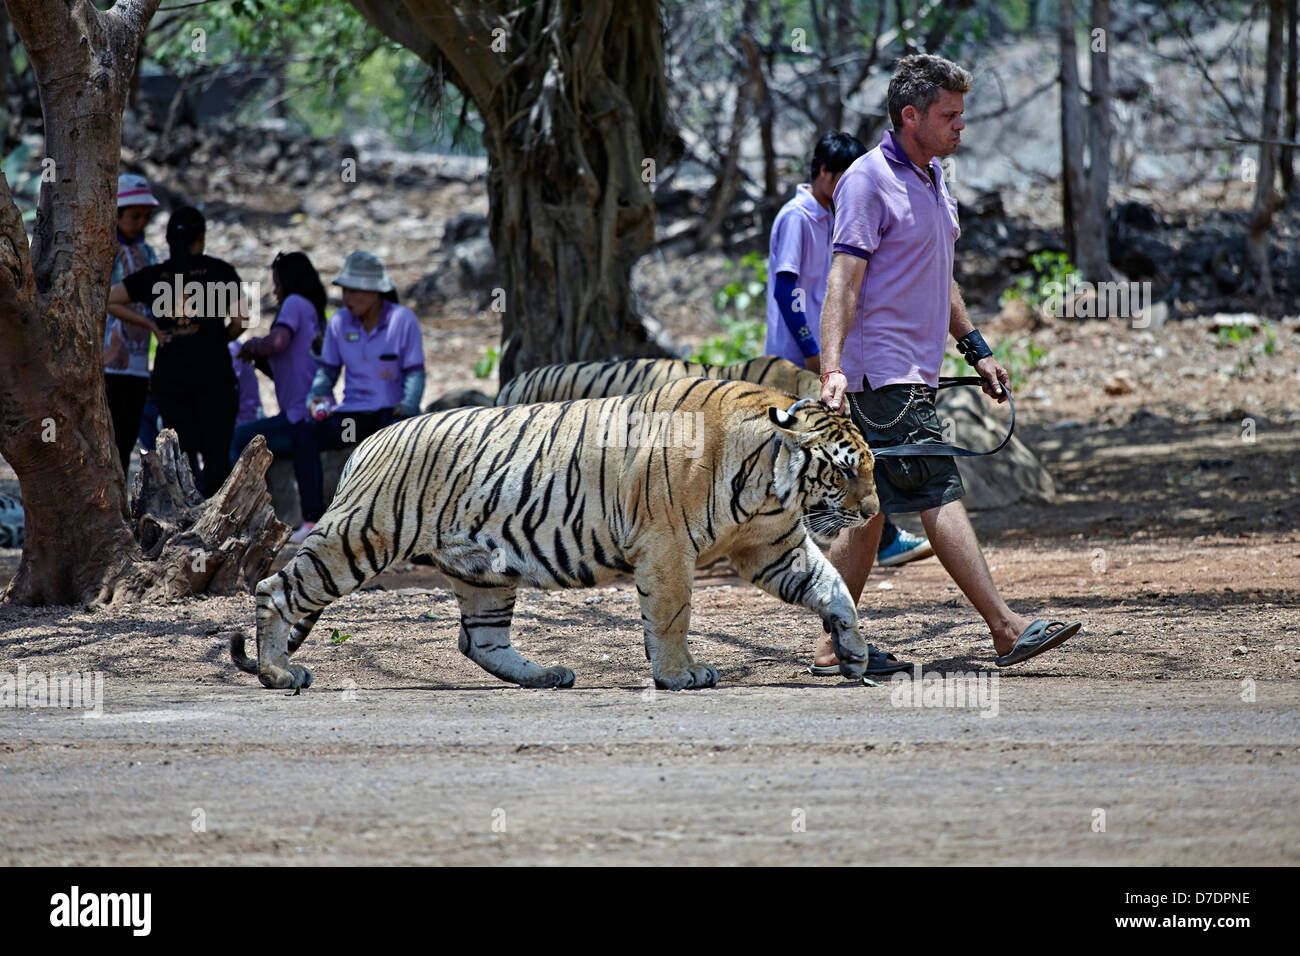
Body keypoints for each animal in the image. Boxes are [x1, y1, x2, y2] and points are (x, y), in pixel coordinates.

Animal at [233, 377, 883, 691]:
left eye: (871, 467)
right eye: (846, 470)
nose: (873, 510)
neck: (768, 484)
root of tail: (367, 440)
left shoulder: (771, 548)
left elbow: (833, 590)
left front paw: (854, 653)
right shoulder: (668, 547)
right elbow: (672, 615)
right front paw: (678, 675)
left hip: (484, 572)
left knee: (480, 641)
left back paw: (547, 676)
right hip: (357, 539)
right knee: (274, 589)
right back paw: (277, 674)